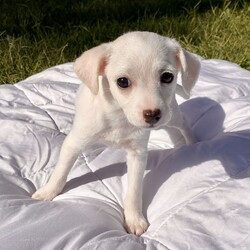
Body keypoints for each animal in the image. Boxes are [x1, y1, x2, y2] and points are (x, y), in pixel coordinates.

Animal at [32, 30, 200, 235]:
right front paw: (47, 192)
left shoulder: (137, 154)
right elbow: (60, 171)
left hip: (171, 115)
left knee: (183, 123)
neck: (118, 115)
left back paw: (192, 142)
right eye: (123, 82)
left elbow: (134, 192)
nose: (152, 114)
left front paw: (134, 219)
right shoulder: (74, 142)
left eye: (167, 77)